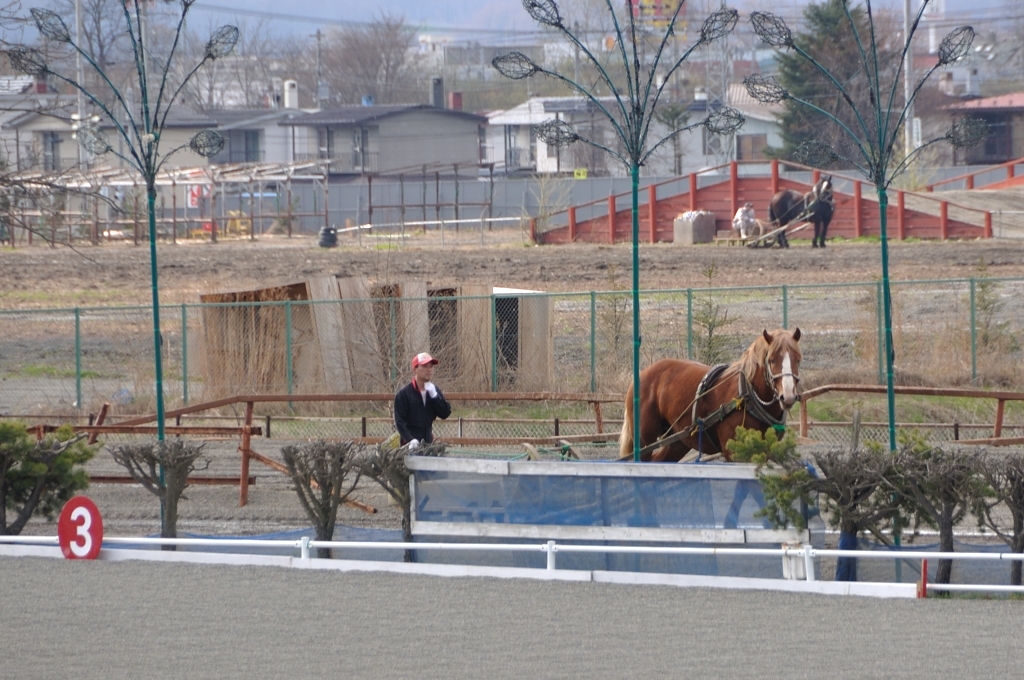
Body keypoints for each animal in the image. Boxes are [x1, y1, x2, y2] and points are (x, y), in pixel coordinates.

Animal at [618, 327, 802, 462]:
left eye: (798, 360)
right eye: (772, 360)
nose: (788, 396)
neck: (747, 397)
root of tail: (641, 375)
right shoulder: (733, 452)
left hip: (677, 442)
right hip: (643, 441)